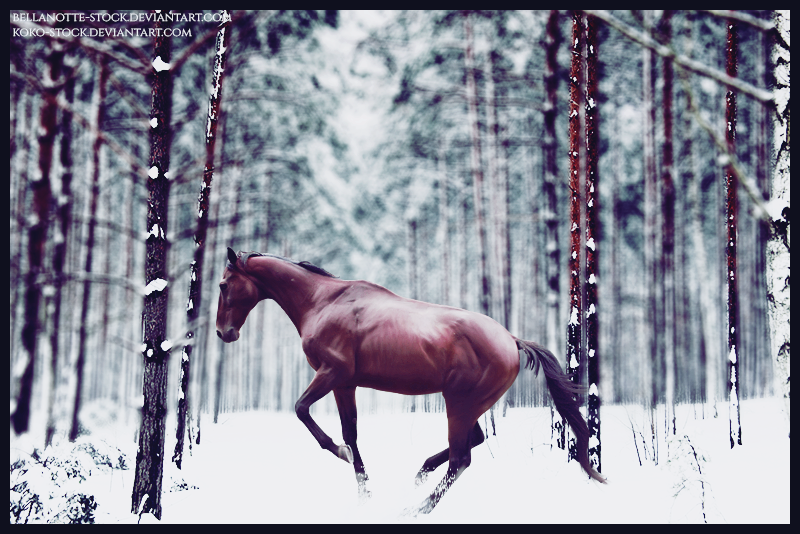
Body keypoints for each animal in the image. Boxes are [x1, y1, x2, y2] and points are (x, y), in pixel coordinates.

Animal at [216, 249, 604, 516]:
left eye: (222, 284)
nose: (224, 332)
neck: (323, 303)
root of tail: (511, 339)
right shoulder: (345, 384)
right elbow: (350, 433)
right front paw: (365, 494)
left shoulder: (331, 373)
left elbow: (303, 411)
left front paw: (341, 457)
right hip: (470, 406)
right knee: (474, 441)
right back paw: (419, 473)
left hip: (459, 404)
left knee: (462, 458)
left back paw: (414, 508)